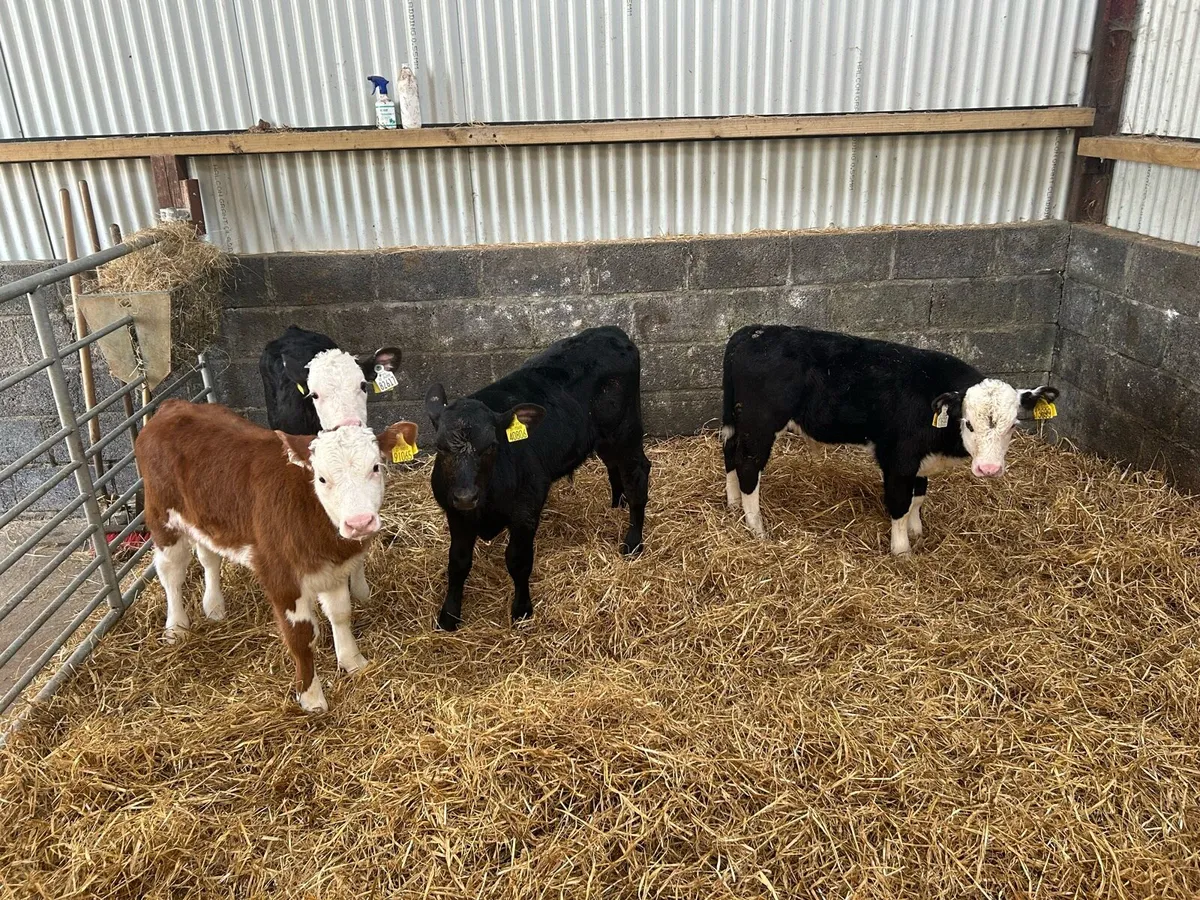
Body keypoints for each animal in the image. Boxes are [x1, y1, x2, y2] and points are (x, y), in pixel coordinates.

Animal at [136, 399, 418, 712]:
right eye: (321, 478)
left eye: (376, 467)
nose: (359, 523)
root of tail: (172, 406)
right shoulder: (281, 577)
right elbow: (301, 637)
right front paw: (311, 697)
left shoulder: (334, 569)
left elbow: (341, 614)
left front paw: (353, 661)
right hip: (162, 518)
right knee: (171, 574)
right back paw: (176, 627)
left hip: (205, 518)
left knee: (209, 557)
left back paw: (214, 606)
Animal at [423, 326, 651, 632]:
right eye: (440, 447)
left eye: (492, 446)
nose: (466, 496)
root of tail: (610, 332)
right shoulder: (456, 513)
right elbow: (458, 562)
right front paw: (448, 615)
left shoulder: (525, 510)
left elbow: (517, 560)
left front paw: (521, 610)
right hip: (604, 437)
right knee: (614, 468)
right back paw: (617, 504)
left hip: (625, 431)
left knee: (637, 475)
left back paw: (633, 541)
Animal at [720, 324, 1059, 555]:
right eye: (969, 424)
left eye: (1013, 425)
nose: (989, 469)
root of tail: (752, 332)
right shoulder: (898, 459)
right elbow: (900, 503)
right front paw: (902, 550)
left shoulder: (920, 461)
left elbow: (918, 497)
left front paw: (917, 531)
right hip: (760, 425)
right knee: (748, 466)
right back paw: (757, 527)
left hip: (738, 423)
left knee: (730, 452)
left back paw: (734, 505)